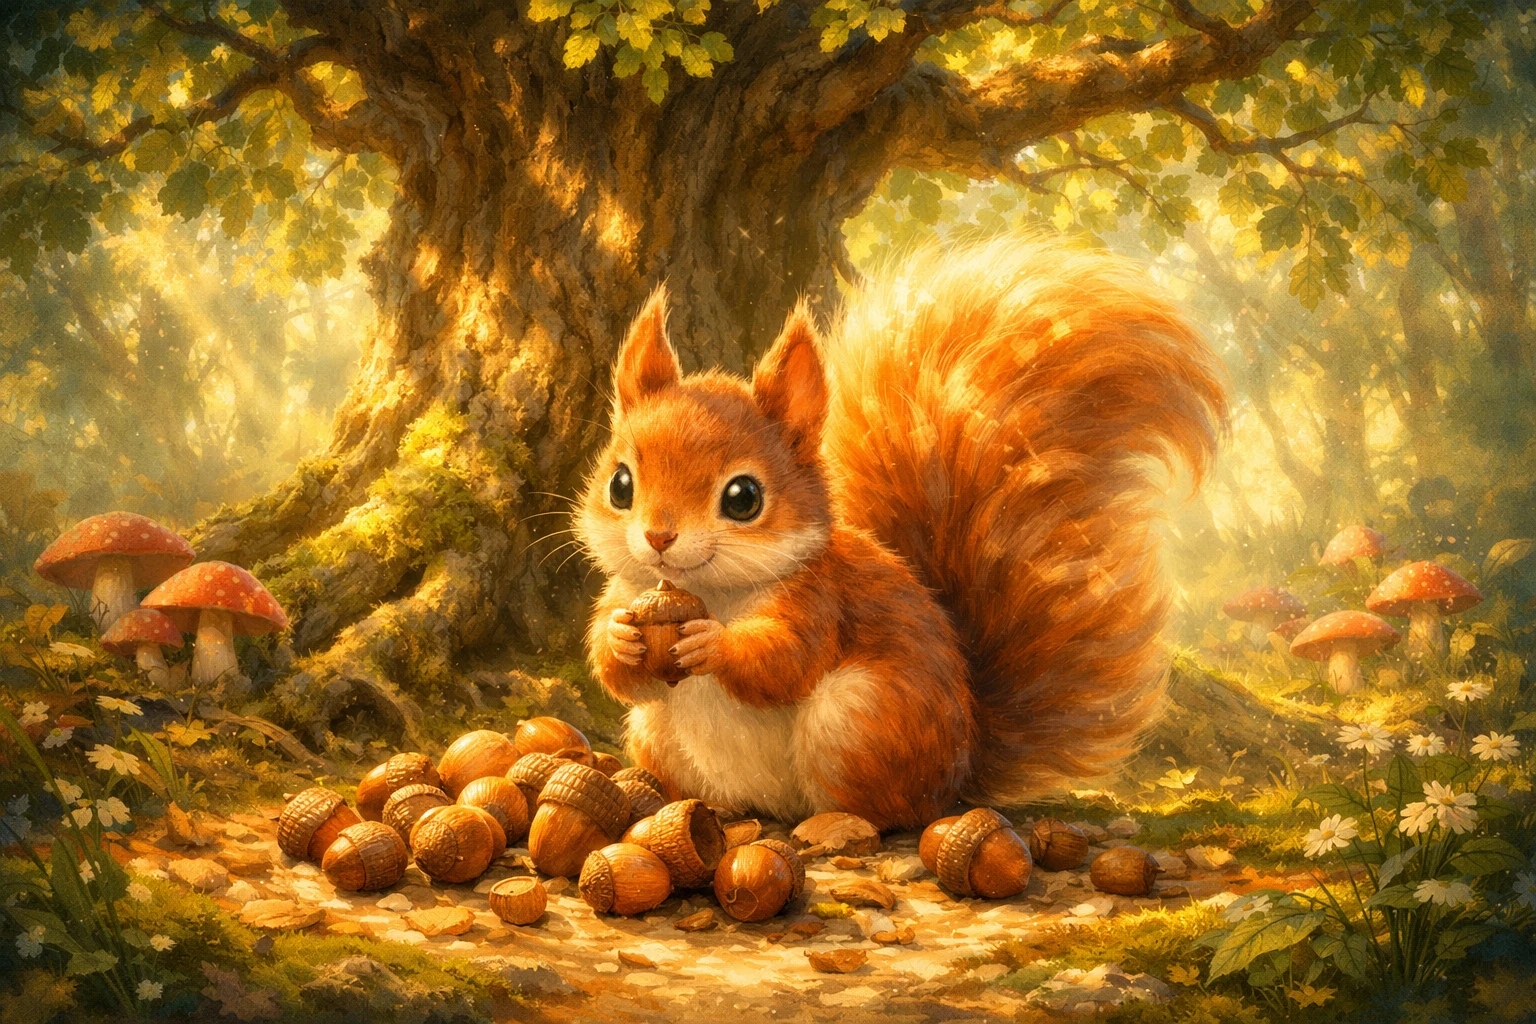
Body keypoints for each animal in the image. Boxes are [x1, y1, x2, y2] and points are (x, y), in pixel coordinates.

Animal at [577, 236, 1226, 831]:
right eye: (620, 485)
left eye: (744, 498)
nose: (659, 537)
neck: (706, 591)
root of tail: (960, 774)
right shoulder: (626, 589)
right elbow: (616, 672)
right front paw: (620, 639)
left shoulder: (818, 600)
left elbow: (785, 660)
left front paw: (713, 642)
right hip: (655, 734)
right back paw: (711, 810)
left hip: (863, 720)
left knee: (890, 811)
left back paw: (838, 825)